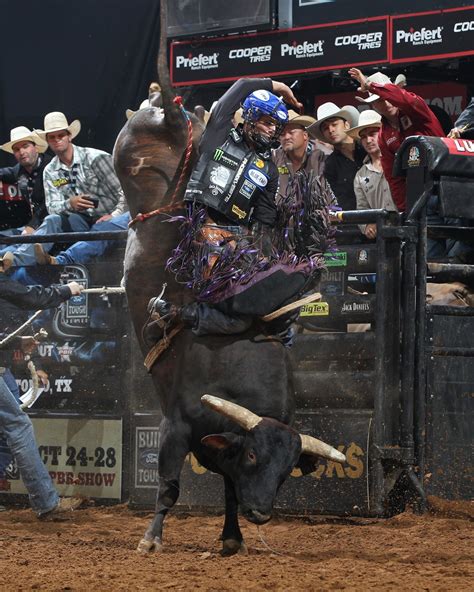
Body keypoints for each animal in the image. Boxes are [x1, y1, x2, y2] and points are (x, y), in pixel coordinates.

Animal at [115, 5, 344, 556]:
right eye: (258, 458)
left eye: (287, 471)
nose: (265, 514)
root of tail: (171, 114)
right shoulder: (176, 427)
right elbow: (169, 486)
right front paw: (151, 539)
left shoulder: (218, 446)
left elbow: (229, 491)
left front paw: (233, 537)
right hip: (138, 148)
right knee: (209, 113)